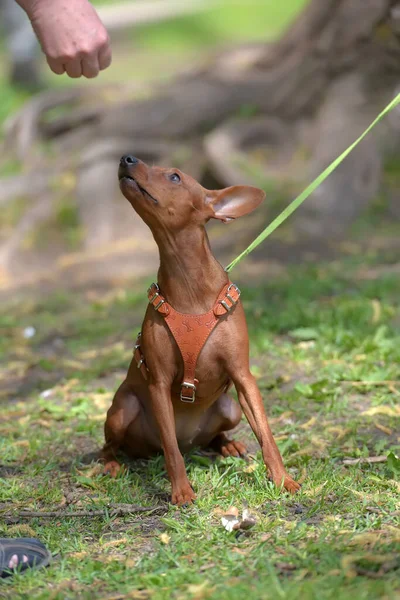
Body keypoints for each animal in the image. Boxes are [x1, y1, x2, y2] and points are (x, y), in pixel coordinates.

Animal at [101, 156, 298, 506]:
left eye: (174, 177)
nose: (127, 158)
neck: (189, 284)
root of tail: (192, 441)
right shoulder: (158, 383)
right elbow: (171, 451)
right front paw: (181, 491)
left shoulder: (243, 376)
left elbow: (267, 436)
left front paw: (282, 480)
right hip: (123, 410)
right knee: (113, 446)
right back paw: (110, 463)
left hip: (230, 408)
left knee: (215, 435)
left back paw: (227, 444)